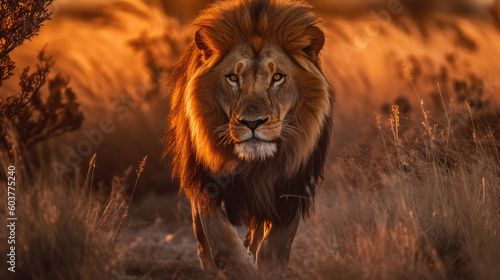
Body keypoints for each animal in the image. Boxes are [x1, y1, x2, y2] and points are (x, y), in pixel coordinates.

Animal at [164, 0, 334, 278]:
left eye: (277, 77)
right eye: (233, 78)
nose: (252, 123)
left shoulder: (293, 183)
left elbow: (277, 247)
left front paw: (266, 267)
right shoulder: (205, 180)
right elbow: (220, 242)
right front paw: (242, 268)